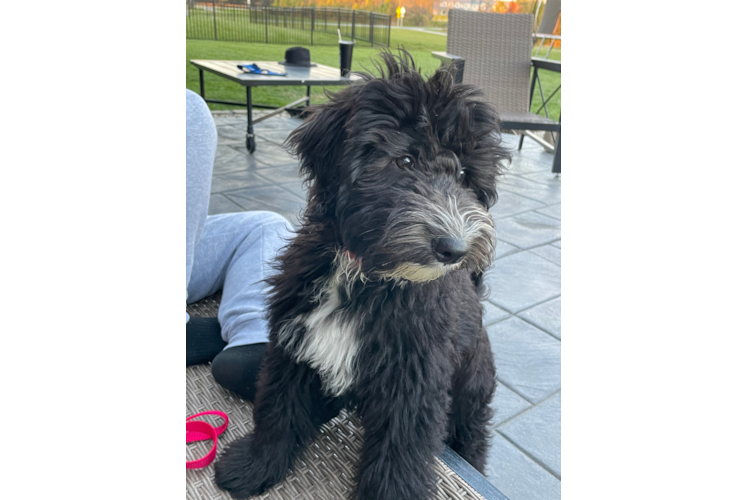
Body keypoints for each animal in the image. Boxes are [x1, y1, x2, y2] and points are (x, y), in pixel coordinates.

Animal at [213, 49, 512, 500]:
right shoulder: (294, 344)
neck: (365, 273)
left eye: (463, 176)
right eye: (404, 161)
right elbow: (278, 407)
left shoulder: (414, 384)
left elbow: (399, 459)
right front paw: (255, 466)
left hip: (470, 398)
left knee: (471, 437)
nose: (455, 249)